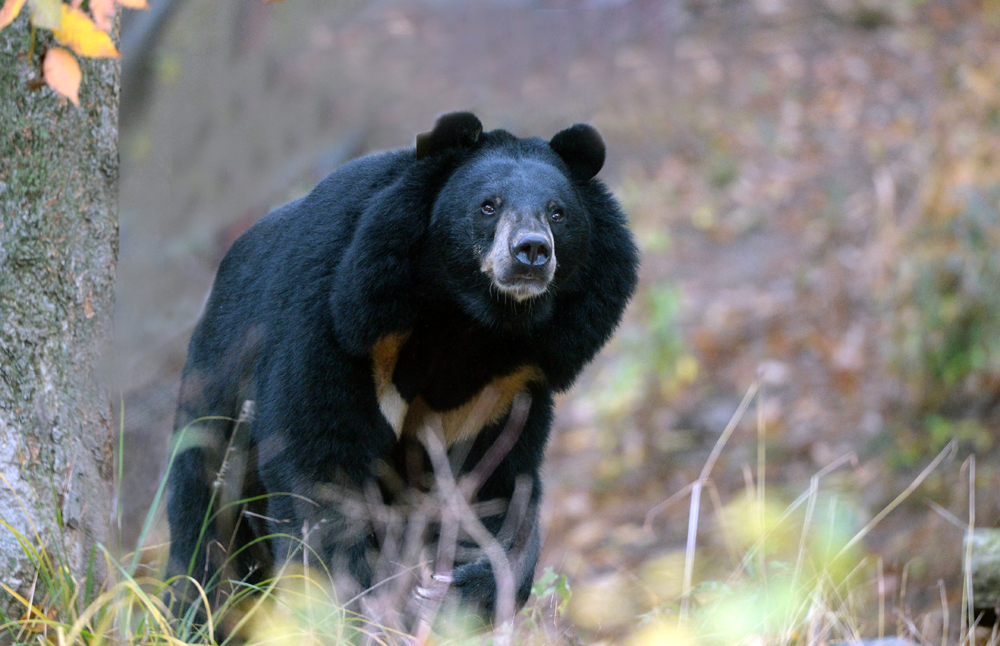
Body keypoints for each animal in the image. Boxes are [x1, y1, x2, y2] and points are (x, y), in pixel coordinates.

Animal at [161, 112, 636, 628]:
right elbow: (319, 468)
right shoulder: (339, 326)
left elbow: (496, 486)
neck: (470, 323)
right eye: (488, 206)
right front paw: (353, 605)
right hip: (216, 404)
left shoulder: (511, 385)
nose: (530, 252)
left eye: (557, 213)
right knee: (208, 537)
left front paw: (459, 592)